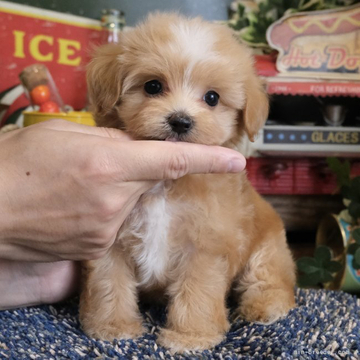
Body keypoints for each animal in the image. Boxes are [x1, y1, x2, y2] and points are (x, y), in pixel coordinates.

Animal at [80, 13, 296, 352]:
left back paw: (266, 305)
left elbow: (198, 290)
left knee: (270, 276)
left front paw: (191, 336)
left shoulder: (206, 244)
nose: (180, 121)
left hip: (269, 246)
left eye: (212, 98)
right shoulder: (109, 240)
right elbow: (108, 282)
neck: (166, 184)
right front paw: (112, 328)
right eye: (153, 86)